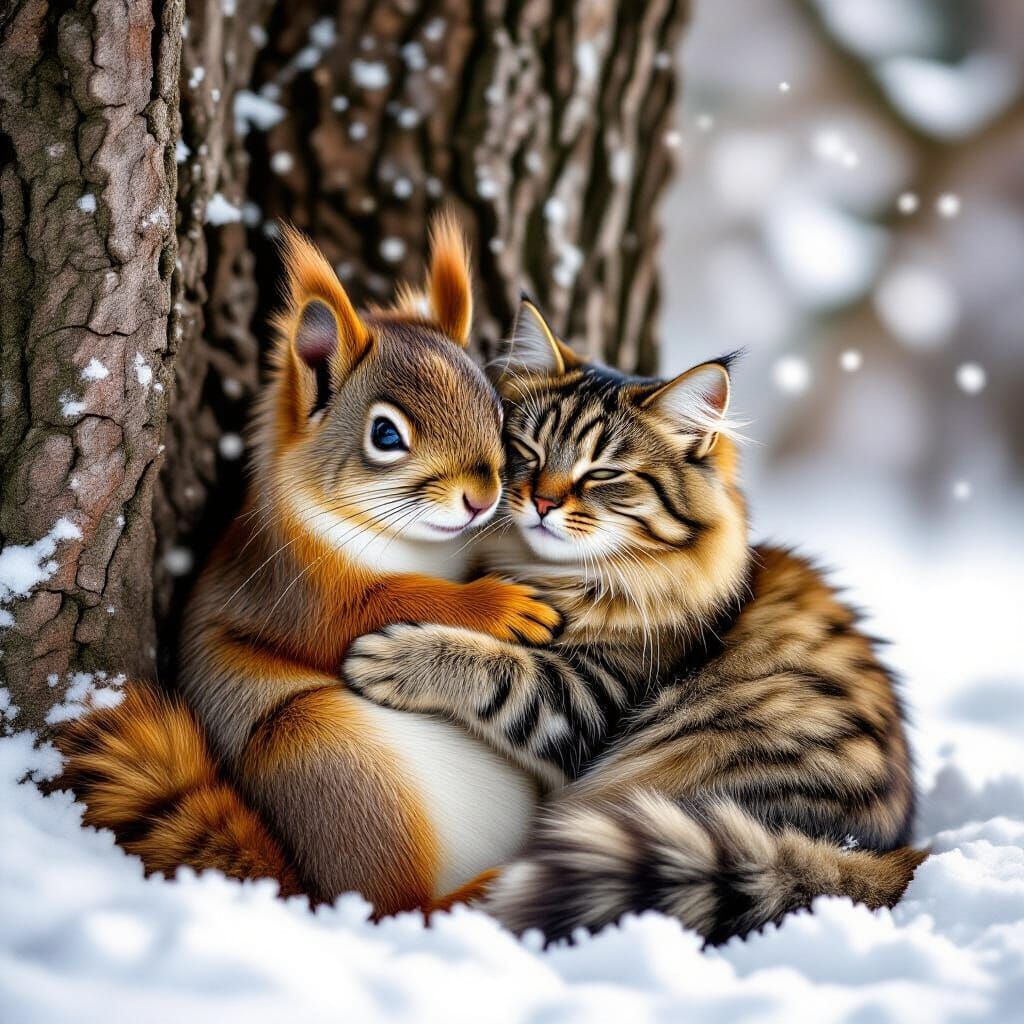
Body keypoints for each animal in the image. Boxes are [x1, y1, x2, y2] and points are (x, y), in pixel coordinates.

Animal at [59, 216, 560, 914]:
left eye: (496, 408)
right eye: (385, 435)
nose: (482, 498)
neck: (419, 544)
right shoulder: (290, 590)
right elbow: (372, 612)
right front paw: (500, 606)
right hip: (325, 754)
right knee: (394, 906)